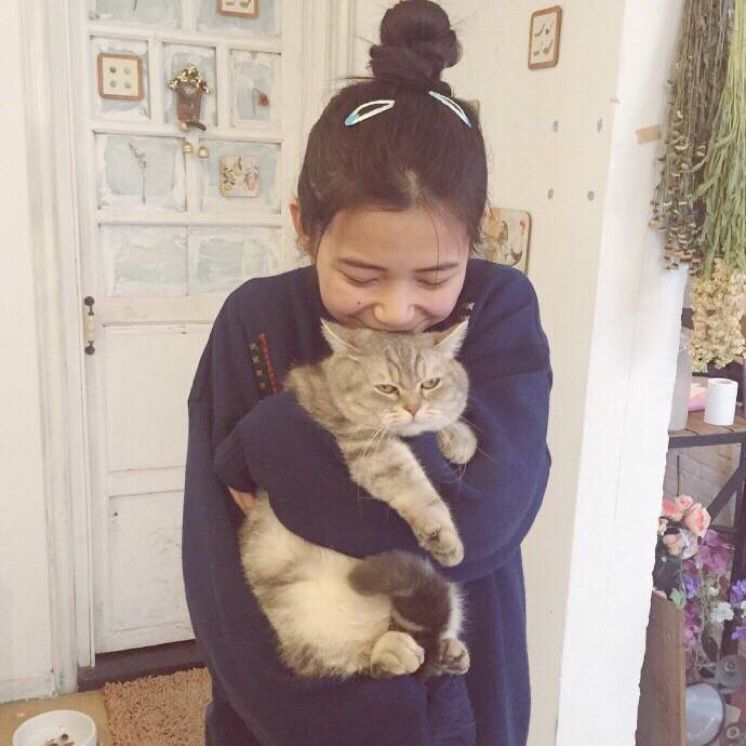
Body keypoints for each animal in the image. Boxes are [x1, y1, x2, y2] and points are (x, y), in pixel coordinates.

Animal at [237, 320, 477, 680]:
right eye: (387, 388)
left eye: (430, 383)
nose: (413, 407)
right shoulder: (370, 448)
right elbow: (415, 487)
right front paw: (441, 534)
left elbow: (451, 423)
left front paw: (459, 438)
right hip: (312, 621)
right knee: (363, 661)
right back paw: (395, 651)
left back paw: (449, 653)